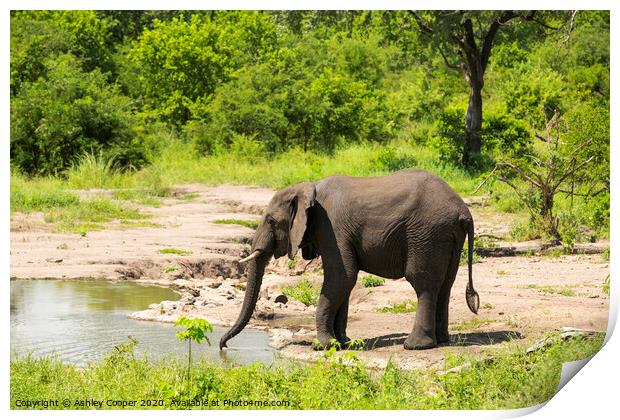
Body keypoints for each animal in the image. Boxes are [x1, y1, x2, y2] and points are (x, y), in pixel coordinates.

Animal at [219, 168, 480, 352]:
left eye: (271, 221)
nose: (223, 346)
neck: (308, 187)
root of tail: (463, 211)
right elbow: (343, 282)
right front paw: (343, 342)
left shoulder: (331, 226)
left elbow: (342, 276)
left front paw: (323, 346)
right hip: (446, 236)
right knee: (445, 284)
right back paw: (442, 340)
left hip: (426, 234)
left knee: (423, 283)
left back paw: (415, 346)